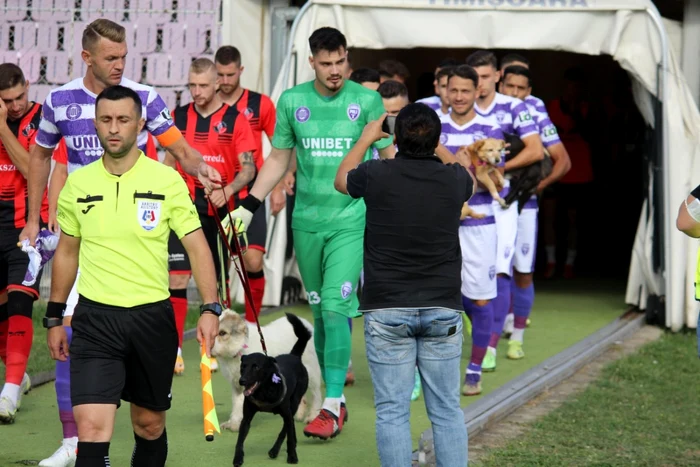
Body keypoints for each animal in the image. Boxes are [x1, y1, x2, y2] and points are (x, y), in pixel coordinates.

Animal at [232, 314, 308, 467]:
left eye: (256, 367)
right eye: (243, 366)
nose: (242, 381)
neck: (264, 392)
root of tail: (295, 356)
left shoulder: (287, 413)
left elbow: (287, 434)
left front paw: (292, 456)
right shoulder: (246, 418)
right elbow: (240, 440)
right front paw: (238, 458)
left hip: (294, 403)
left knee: (287, 428)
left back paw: (275, 450)